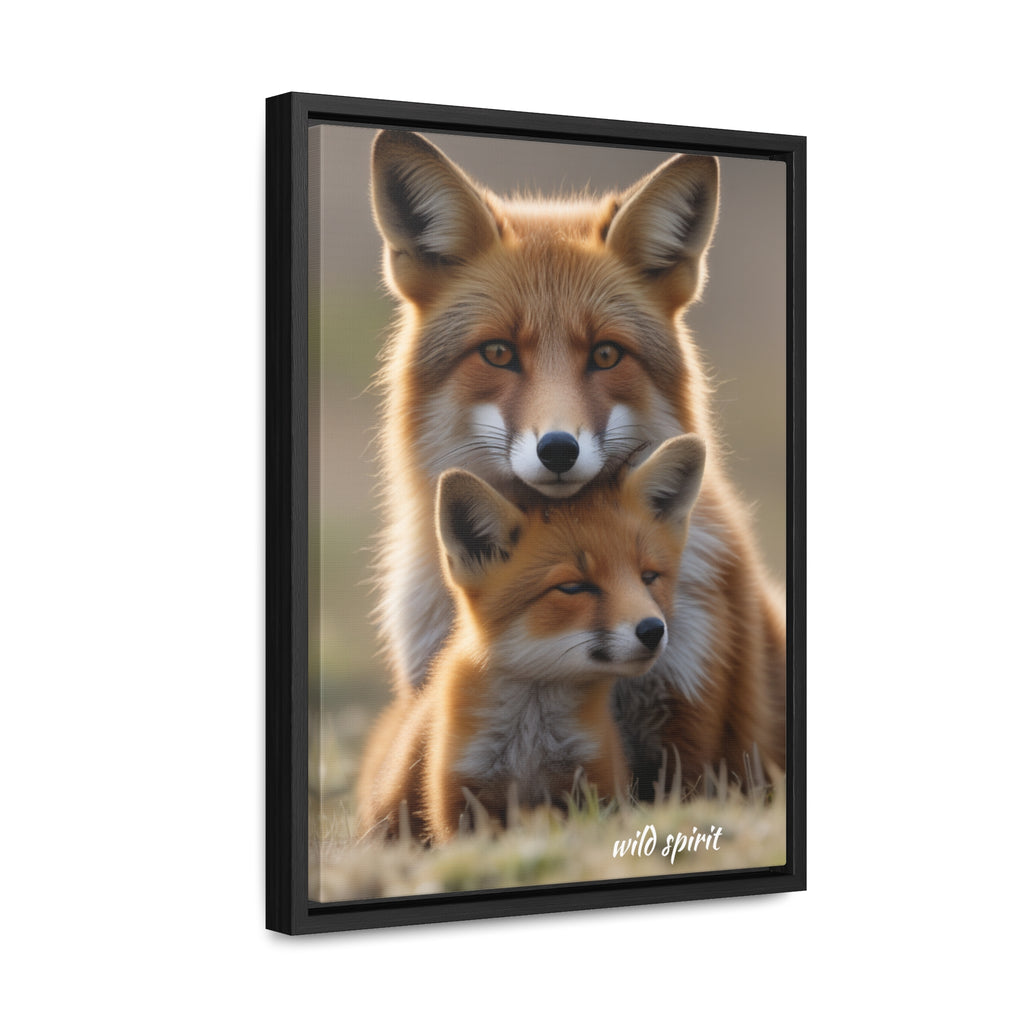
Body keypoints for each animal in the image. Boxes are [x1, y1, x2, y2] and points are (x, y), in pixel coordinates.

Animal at [357, 435, 707, 843]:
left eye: (649, 577)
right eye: (573, 587)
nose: (653, 630)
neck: (530, 747)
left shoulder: (597, 783)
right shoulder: (458, 801)